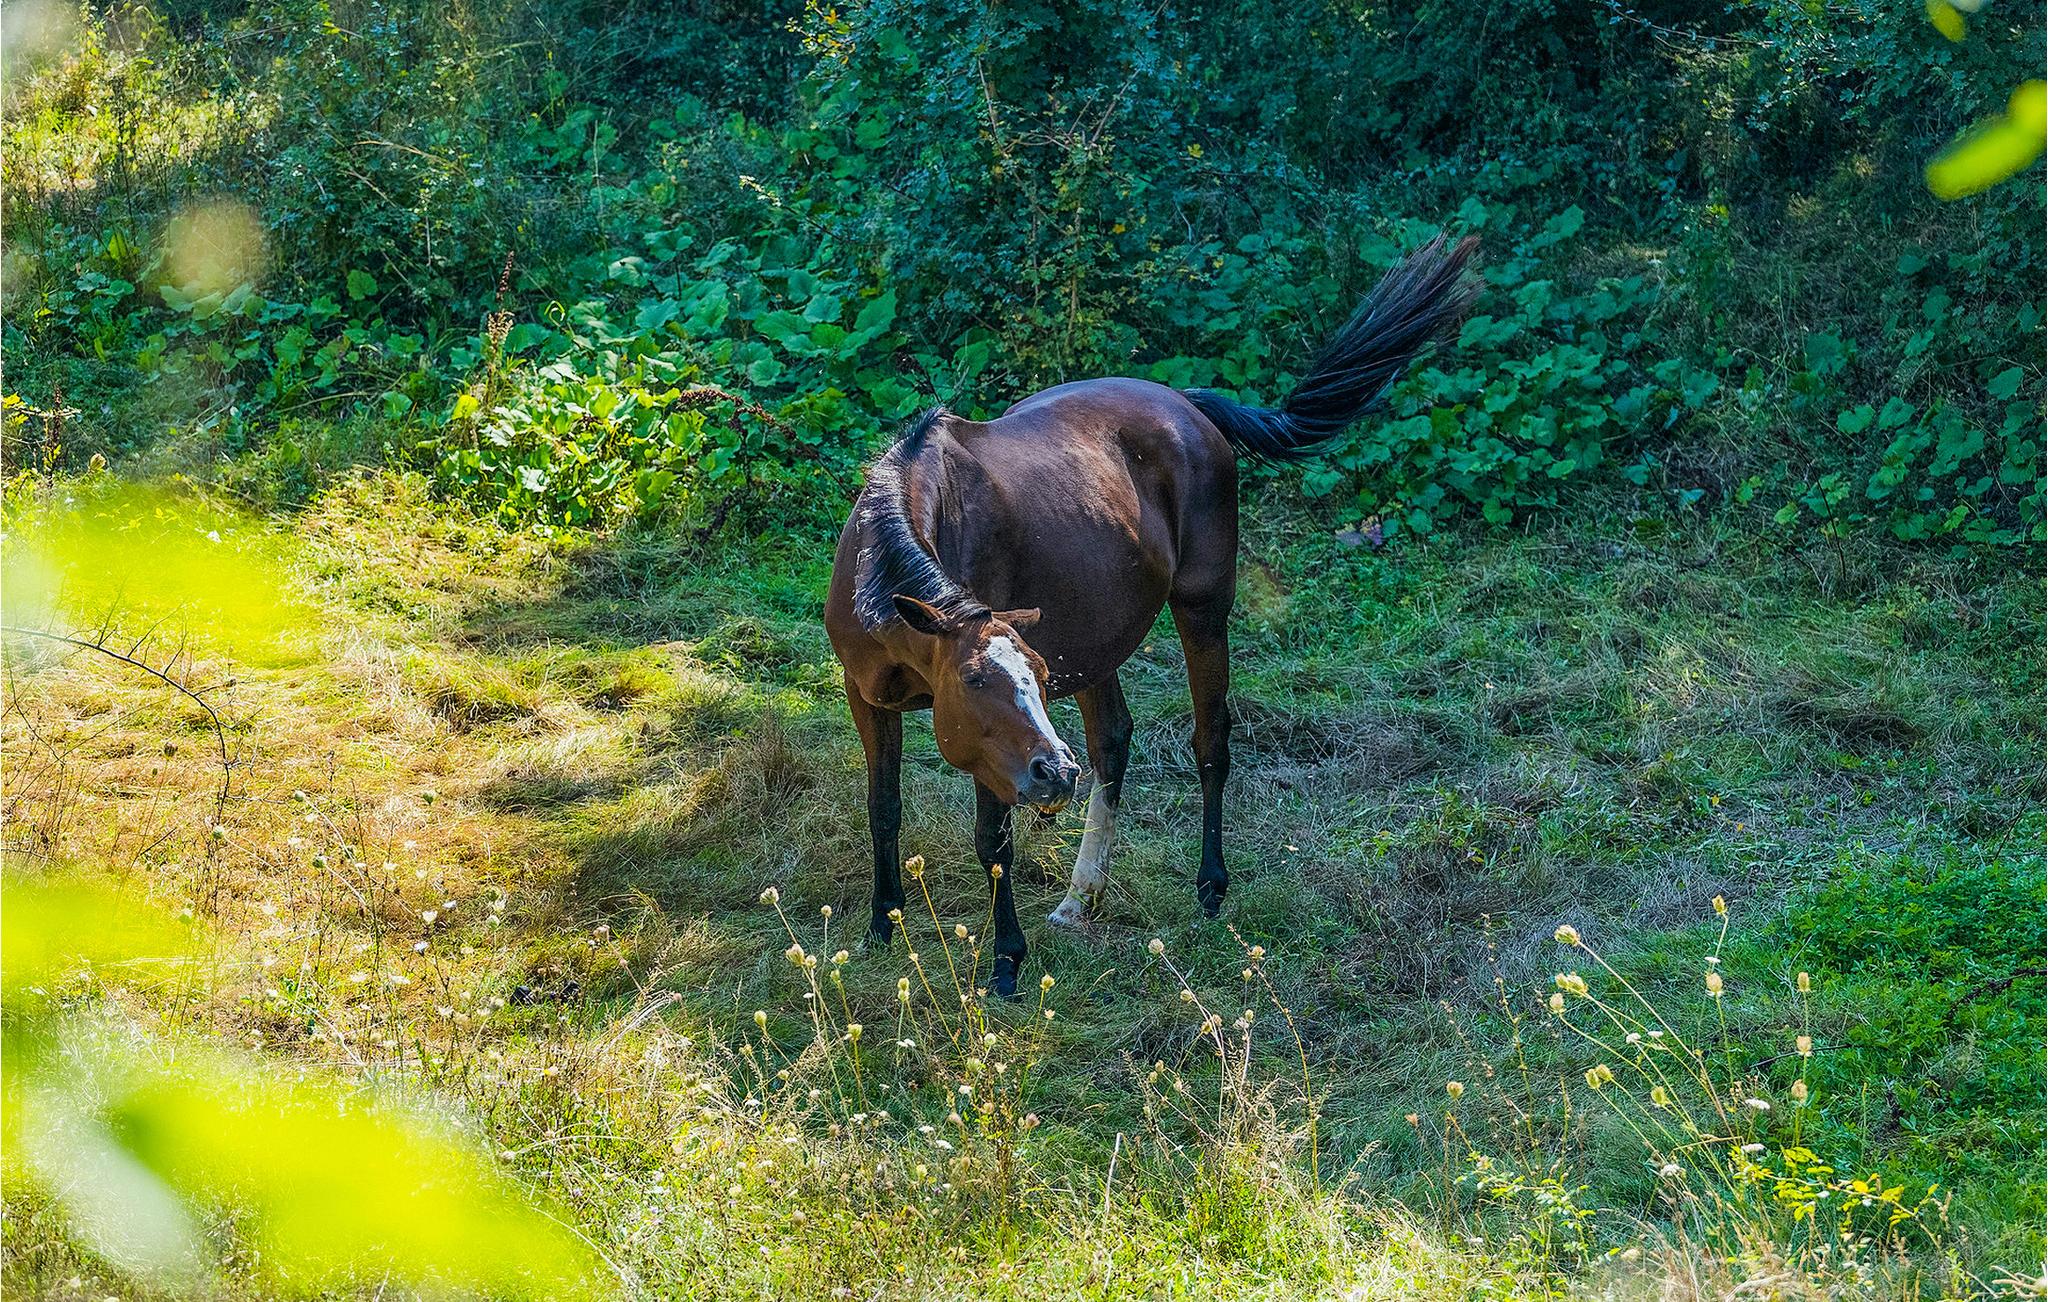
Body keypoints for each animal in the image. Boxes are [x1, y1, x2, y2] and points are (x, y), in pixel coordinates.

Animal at [824, 234, 1478, 996]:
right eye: (977, 680)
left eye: (1034, 678)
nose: (1054, 773)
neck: (889, 557)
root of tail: (1186, 405)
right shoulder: (868, 697)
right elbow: (883, 809)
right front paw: (883, 923)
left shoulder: (995, 748)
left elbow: (993, 841)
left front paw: (1006, 956)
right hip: (1094, 639)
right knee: (1111, 741)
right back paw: (1081, 894)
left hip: (1202, 606)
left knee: (1210, 739)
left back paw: (1209, 885)